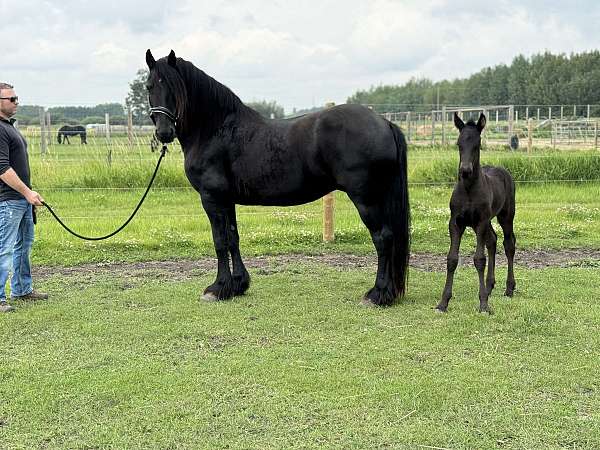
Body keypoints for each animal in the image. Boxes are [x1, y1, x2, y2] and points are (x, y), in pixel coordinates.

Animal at [144, 51, 412, 308]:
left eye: (174, 87)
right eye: (149, 86)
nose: (164, 132)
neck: (215, 129)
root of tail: (384, 123)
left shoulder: (212, 198)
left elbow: (219, 241)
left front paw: (217, 288)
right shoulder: (227, 200)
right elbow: (232, 238)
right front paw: (238, 285)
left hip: (366, 198)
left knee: (383, 238)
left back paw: (377, 294)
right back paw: (389, 293)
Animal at [436, 112, 516, 312]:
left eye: (477, 144)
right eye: (458, 144)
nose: (465, 170)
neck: (469, 190)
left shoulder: (480, 222)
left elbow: (479, 259)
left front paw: (484, 305)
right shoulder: (456, 223)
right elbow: (452, 259)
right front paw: (443, 302)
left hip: (506, 216)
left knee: (509, 244)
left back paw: (509, 288)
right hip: (487, 221)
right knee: (493, 241)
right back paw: (489, 287)